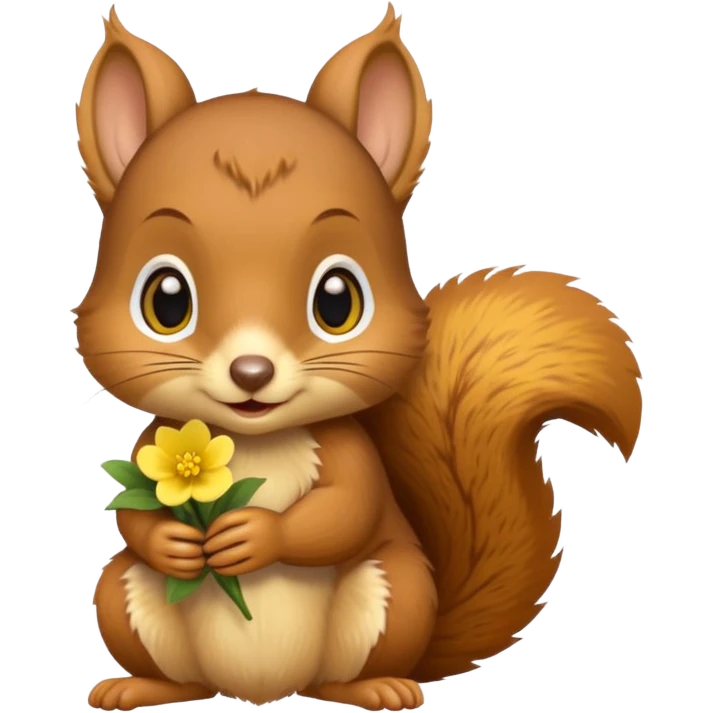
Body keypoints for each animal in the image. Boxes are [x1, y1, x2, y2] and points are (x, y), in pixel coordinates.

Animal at [74, 4, 643, 712]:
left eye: (338, 299)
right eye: (165, 299)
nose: (251, 373)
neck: (252, 440)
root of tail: (263, 691)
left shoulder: (349, 450)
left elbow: (346, 510)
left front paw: (256, 535)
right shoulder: (155, 446)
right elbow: (134, 520)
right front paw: (176, 541)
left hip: (394, 593)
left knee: (342, 672)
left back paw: (378, 687)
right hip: (121, 598)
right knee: (174, 663)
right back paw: (139, 686)